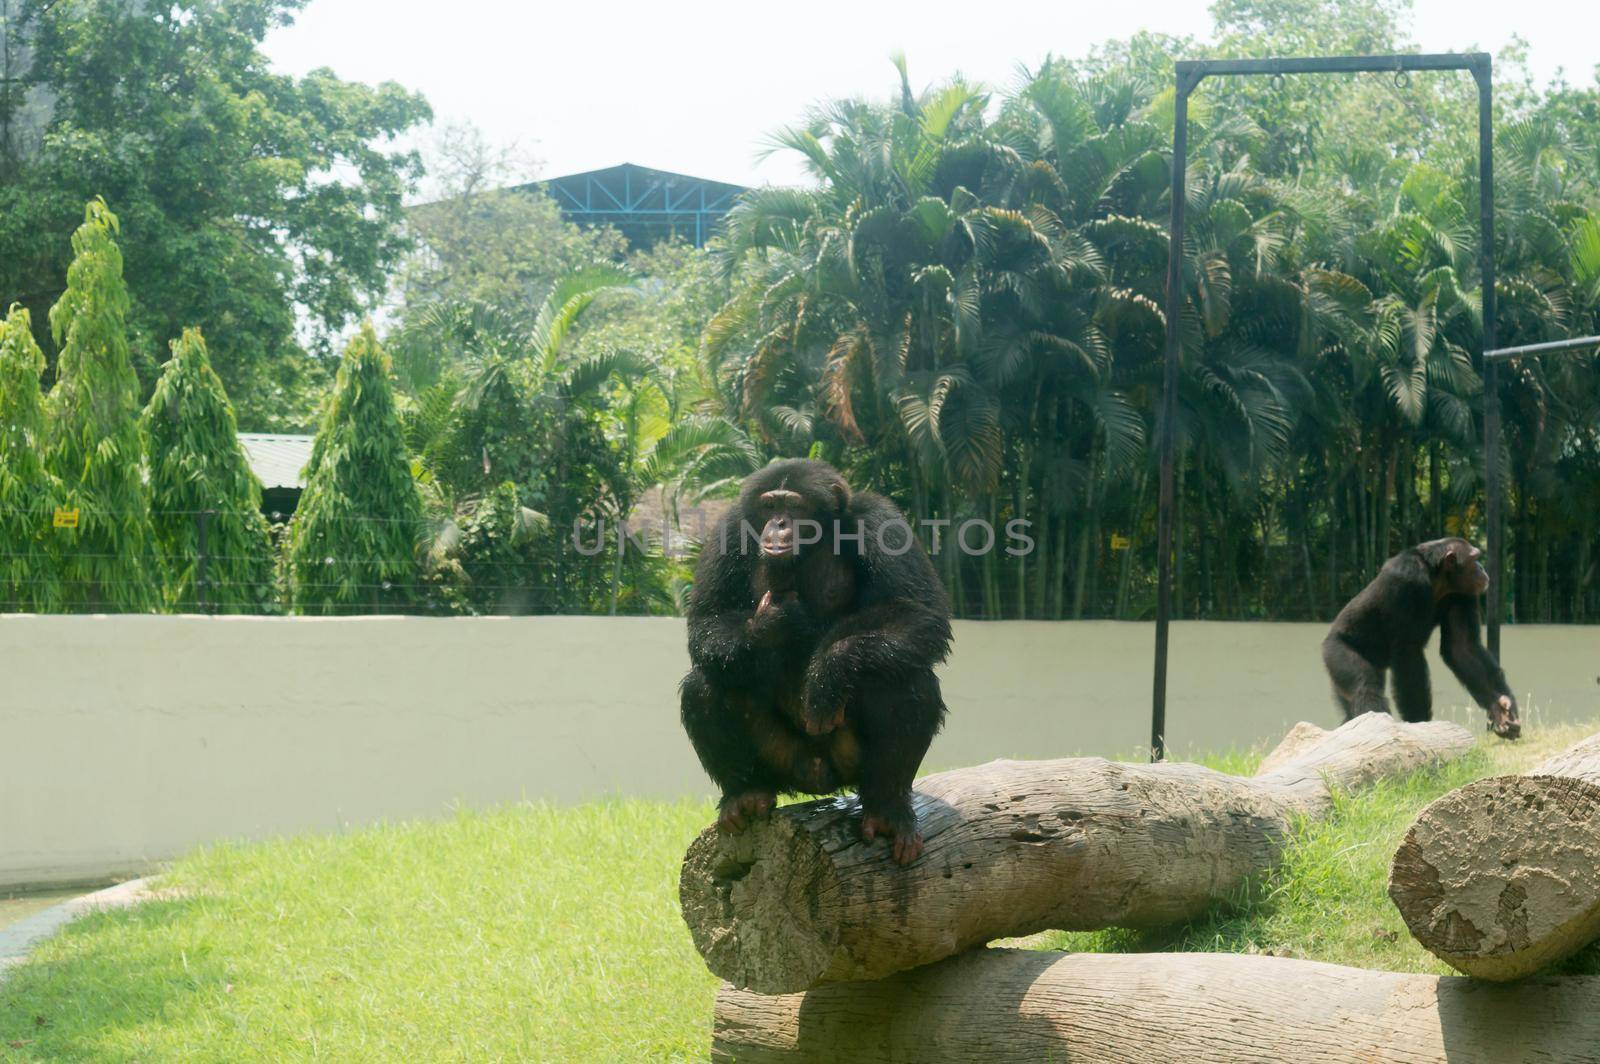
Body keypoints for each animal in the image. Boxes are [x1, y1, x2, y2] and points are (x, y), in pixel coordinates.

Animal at [675, 457, 947, 864]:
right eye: (770, 505)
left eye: (794, 504)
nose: (778, 524)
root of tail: (817, 775)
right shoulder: (730, 529)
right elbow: (708, 620)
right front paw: (773, 623)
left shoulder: (880, 519)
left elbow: (921, 613)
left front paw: (827, 674)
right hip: (778, 758)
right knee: (706, 682)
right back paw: (744, 794)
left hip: (850, 762)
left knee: (905, 678)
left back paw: (887, 808)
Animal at [1324, 534, 1523, 736]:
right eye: (1474, 558)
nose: (1482, 568)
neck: (1437, 579)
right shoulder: (1407, 580)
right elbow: (1408, 653)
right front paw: (1420, 725)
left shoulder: (1462, 593)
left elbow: (1463, 648)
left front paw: (1499, 709)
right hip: (1337, 651)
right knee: (1365, 688)